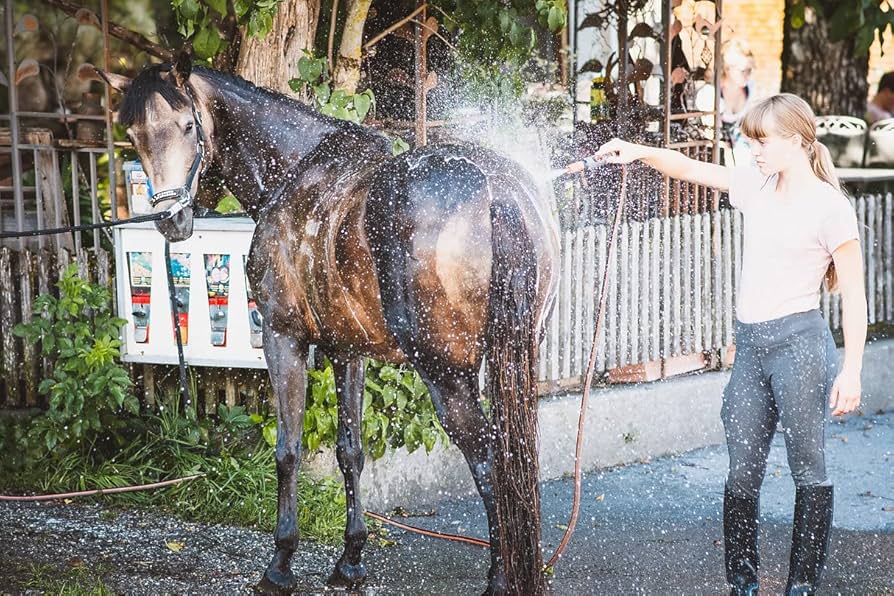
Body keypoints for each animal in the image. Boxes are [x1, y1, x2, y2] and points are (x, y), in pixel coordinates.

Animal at [99, 52, 559, 595]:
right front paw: (351, 559)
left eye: (187, 126)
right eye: (133, 134)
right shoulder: (348, 351)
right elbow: (350, 451)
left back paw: (500, 577)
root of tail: (496, 190)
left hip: (447, 374)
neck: (295, 173)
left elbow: (288, 450)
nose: (171, 219)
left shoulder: (283, 339)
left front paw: (280, 563)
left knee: (491, 459)